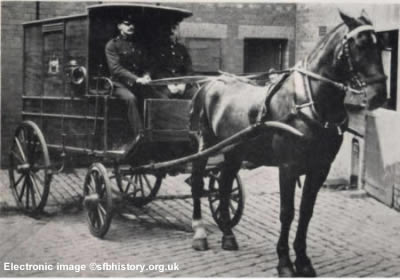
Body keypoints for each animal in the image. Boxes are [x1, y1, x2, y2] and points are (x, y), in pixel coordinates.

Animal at [188, 10, 388, 278]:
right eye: (359, 45)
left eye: (381, 45)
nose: (380, 95)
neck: (308, 103)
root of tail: (209, 83)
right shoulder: (288, 167)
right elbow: (287, 212)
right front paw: (284, 262)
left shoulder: (320, 168)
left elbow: (305, 212)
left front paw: (303, 260)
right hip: (205, 144)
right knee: (198, 182)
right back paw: (199, 233)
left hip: (233, 152)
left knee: (224, 186)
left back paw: (228, 236)